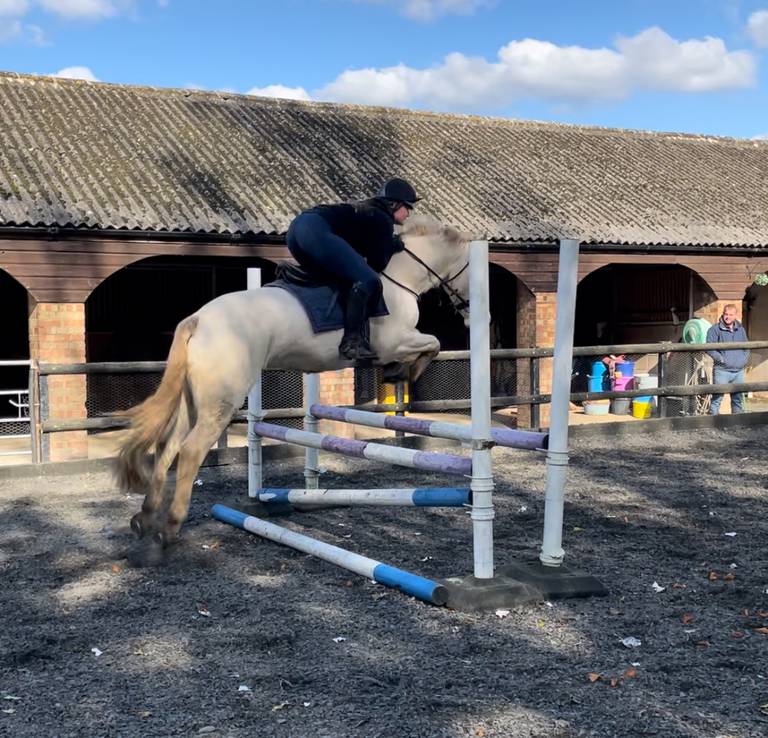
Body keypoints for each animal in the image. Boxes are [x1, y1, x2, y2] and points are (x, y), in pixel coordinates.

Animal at [114, 215, 474, 548]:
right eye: (472, 267)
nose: (470, 315)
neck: (399, 279)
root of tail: (198, 319)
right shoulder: (395, 341)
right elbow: (433, 343)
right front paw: (401, 373)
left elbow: (431, 344)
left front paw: (399, 373)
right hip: (221, 401)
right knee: (190, 451)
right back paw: (170, 527)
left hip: (194, 401)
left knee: (168, 446)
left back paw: (144, 518)